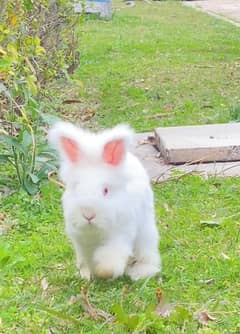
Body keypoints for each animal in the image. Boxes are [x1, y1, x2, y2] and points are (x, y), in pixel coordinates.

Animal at [47, 121, 160, 280]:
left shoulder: (119, 237)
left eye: (105, 190)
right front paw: (88, 276)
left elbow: (110, 261)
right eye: (76, 187)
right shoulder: (82, 243)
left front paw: (103, 273)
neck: (94, 230)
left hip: (145, 230)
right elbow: (86, 262)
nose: (88, 215)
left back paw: (142, 272)